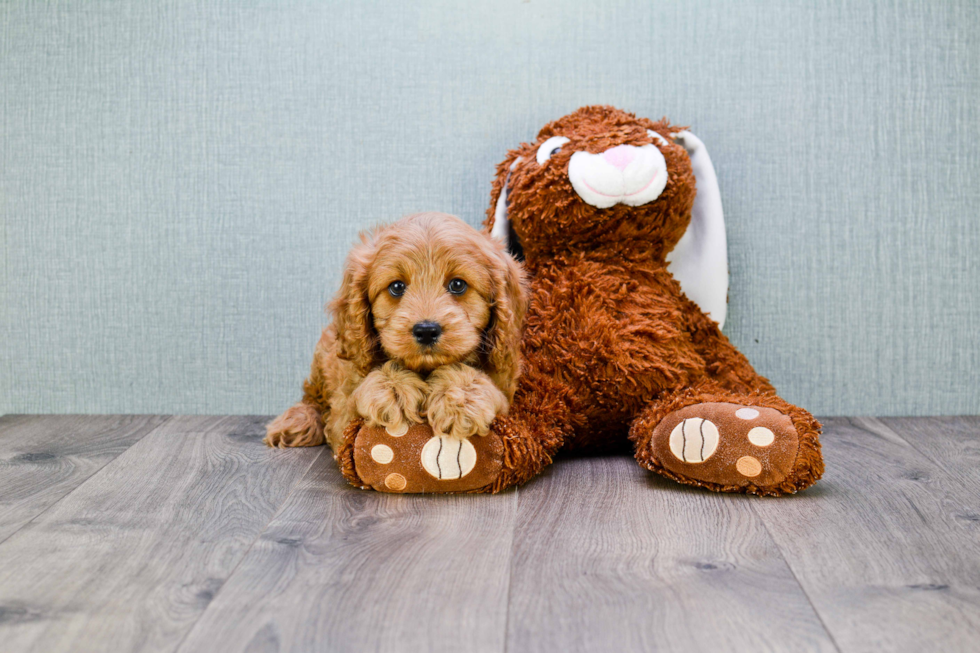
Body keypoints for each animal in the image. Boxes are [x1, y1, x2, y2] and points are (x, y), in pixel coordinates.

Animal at [264, 213, 528, 454]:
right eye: (397, 287)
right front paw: (392, 388)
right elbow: (350, 407)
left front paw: (461, 396)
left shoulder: (508, 393)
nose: (426, 330)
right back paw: (296, 421)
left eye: (458, 285)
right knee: (311, 398)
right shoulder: (342, 412)